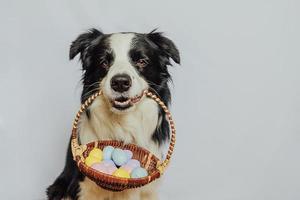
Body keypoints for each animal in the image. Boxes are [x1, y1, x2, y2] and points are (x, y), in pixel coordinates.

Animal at [45, 28, 179, 200]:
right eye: (104, 62)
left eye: (142, 61)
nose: (120, 82)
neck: (123, 123)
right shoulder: (84, 187)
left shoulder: (149, 190)